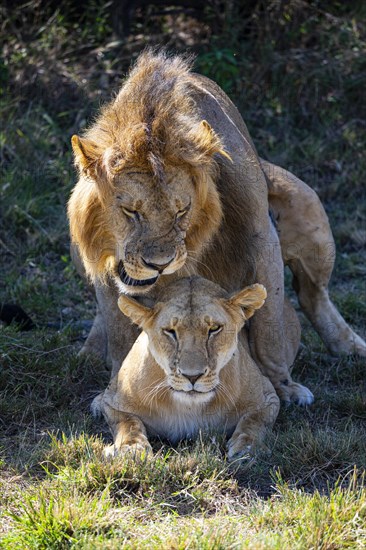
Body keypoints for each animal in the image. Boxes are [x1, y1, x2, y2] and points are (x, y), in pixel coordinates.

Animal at [68, 51, 366, 406]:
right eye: (131, 212)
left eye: (182, 211)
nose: (160, 264)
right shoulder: (103, 262)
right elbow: (118, 328)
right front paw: (117, 389)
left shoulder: (261, 233)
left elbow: (269, 325)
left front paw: (284, 387)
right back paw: (89, 351)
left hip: (307, 205)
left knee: (312, 295)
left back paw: (350, 347)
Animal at [94, 276, 280, 462]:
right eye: (170, 331)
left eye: (214, 329)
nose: (192, 376)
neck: (190, 407)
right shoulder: (114, 401)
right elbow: (129, 423)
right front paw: (131, 449)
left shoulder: (268, 398)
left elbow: (254, 420)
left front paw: (248, 448)